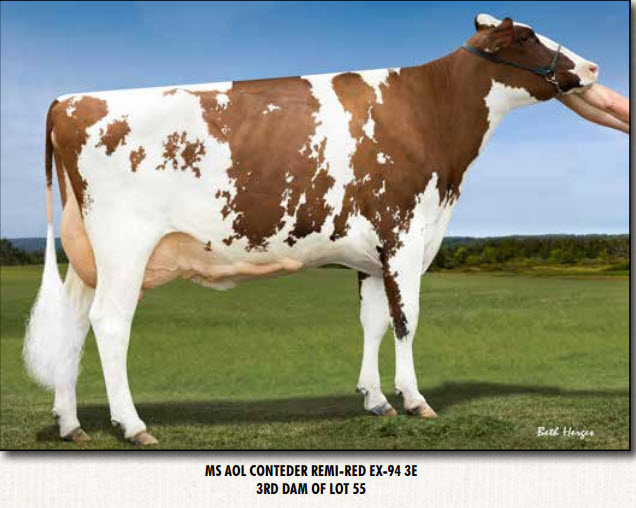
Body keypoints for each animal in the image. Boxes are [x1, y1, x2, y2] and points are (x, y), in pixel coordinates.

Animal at [24, 14, 620, 445]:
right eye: (525, 36)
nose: (593, 66)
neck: (428, 114)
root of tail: (70, 99)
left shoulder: (372, 254)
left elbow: (373, 322)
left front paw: (375, 399)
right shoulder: (404, 235)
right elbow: (406, 321)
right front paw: (414, 399)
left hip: (88, 256)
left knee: (73, 324)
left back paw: (71, 424)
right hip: (125, 247)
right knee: (109, 324)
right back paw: (132, 425)